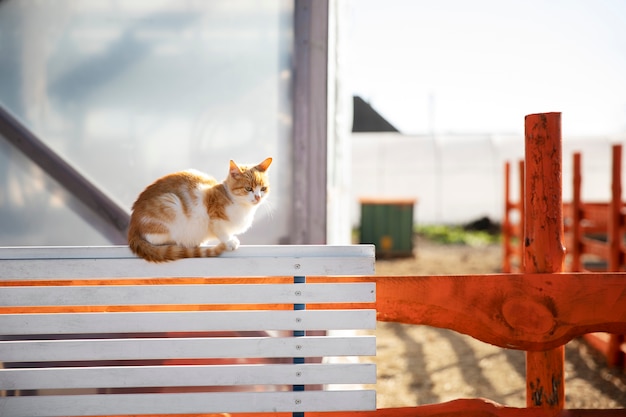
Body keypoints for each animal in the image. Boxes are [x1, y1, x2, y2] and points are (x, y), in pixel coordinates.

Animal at [127, 158, 270, 262]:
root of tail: (133, 225)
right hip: (170, 203)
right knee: (154, 239)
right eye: (248, 189)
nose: (257, 197)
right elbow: (220, 230)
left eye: (263, 189)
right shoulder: (212, 213)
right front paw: (229, 241)